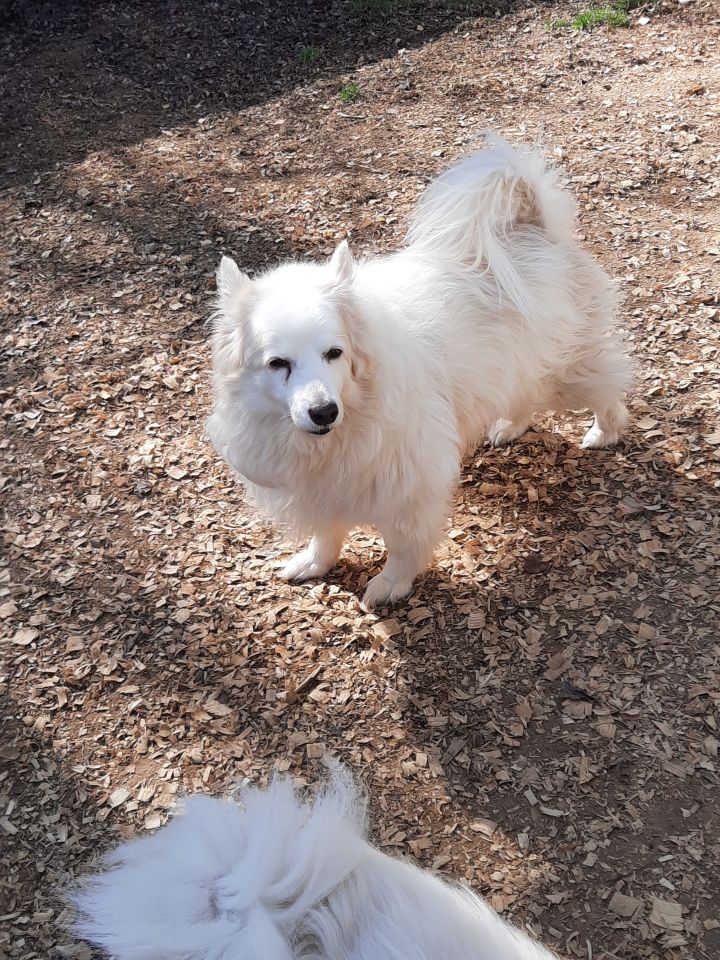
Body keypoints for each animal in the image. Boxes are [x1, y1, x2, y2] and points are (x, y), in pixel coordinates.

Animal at [204, 134, 632, 608]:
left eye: (334, 353)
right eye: (278, 363)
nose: (323, 412)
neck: (351, 416)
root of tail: (531, 226)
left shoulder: (410, 484)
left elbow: (403, 543)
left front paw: (391, 584)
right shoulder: (323, 487)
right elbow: (326, 532)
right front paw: (315, 563)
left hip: (564, 371)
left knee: (608, 390)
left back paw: (603, 432)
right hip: (512, 365)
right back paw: (510, 426)